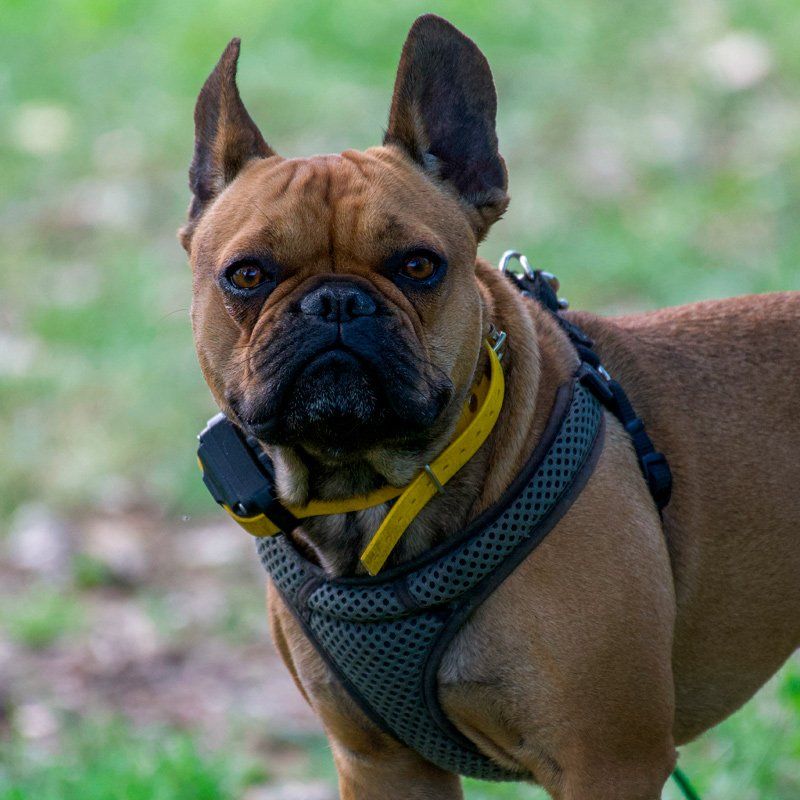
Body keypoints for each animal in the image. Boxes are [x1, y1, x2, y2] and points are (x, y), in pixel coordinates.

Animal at [181, 12, 800, 800]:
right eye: (246, 275)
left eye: (420, 265)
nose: (336, 302)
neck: (369, 495)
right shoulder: (378, 764)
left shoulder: (608, 760)